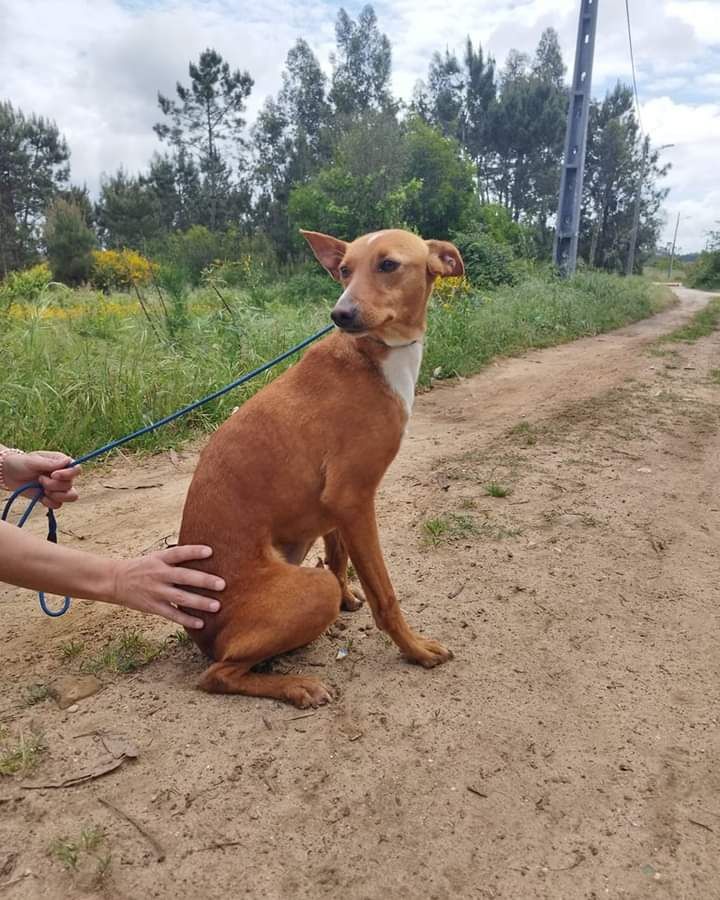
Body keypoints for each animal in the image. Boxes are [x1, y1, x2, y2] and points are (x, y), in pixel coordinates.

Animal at [177, 229, 464, 708]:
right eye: (345, 270)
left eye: (388, 265)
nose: (340, 313)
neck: (373, 354)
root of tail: (198, 629)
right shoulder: (353, 499)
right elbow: (385, 596)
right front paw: (414, 650)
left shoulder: (335, 508)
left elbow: (337, 558)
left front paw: (350, 597)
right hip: (307, 594)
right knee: (217, 675)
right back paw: (297, 686)